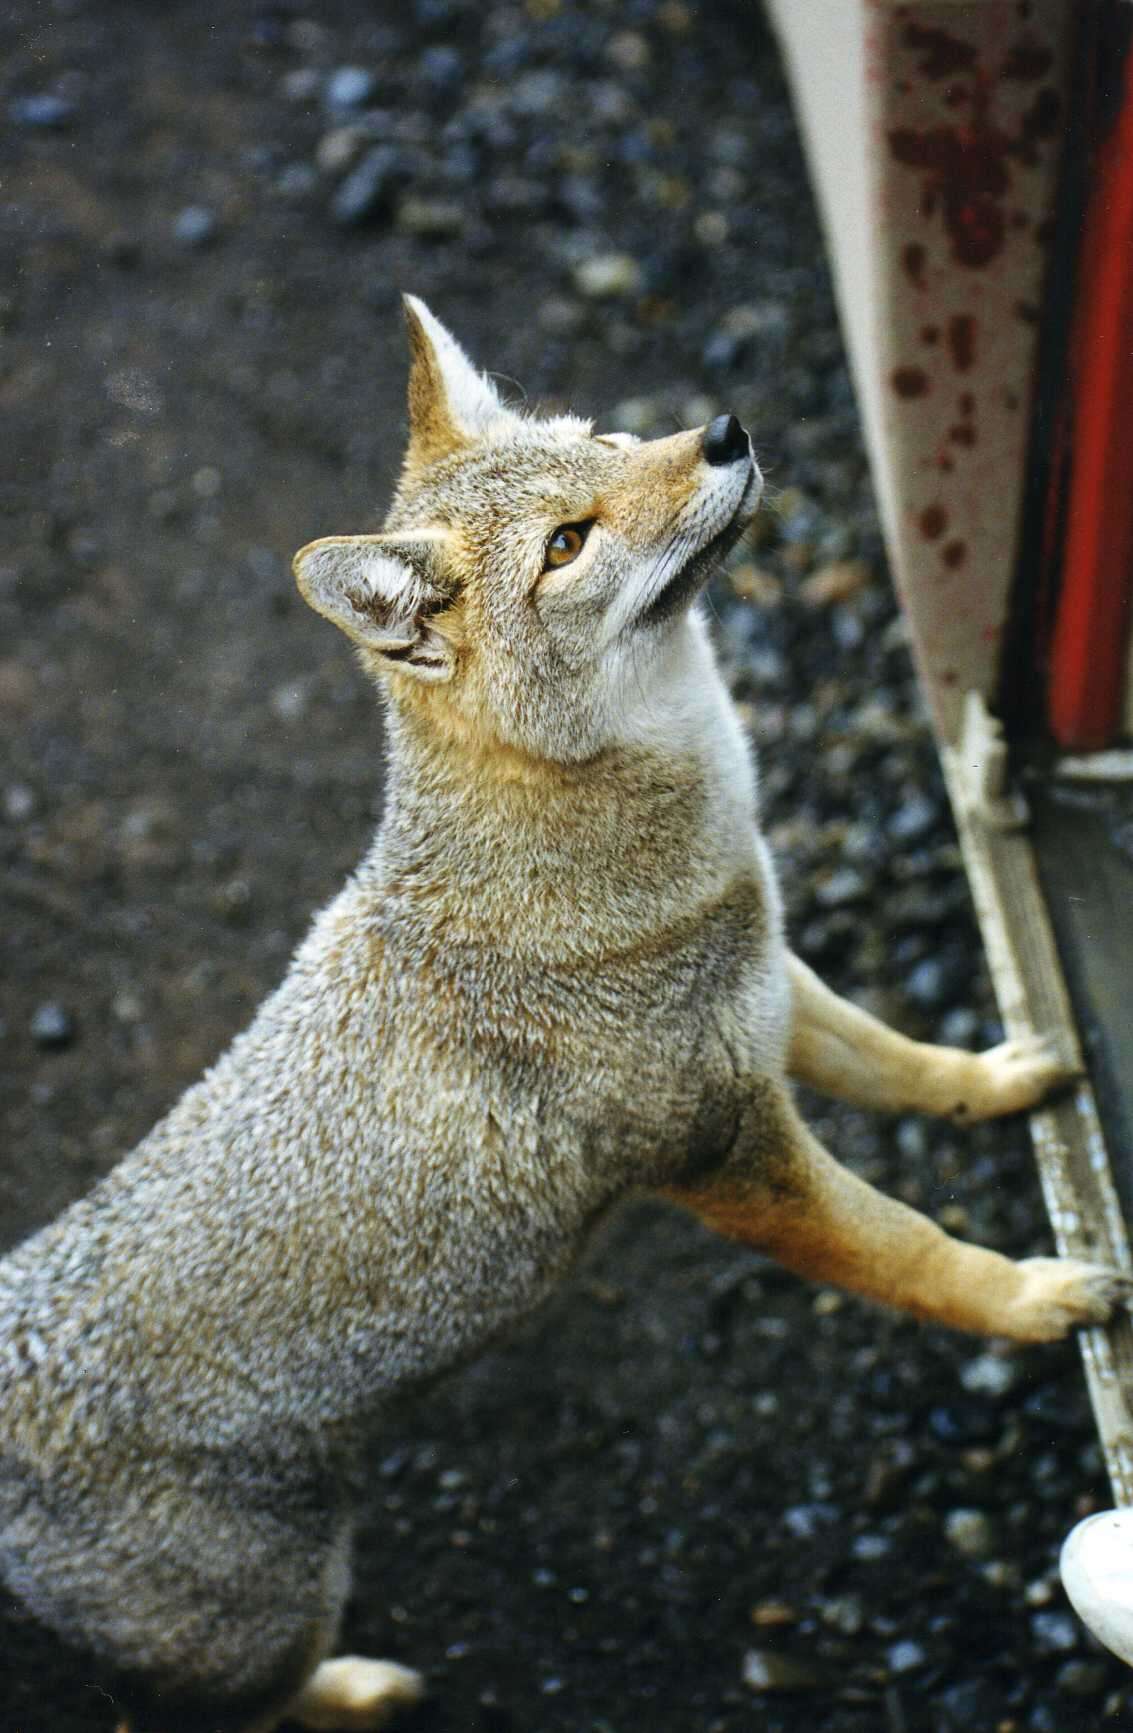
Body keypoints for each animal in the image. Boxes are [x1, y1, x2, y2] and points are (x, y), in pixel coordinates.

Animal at [0, 301, 1129, 1733]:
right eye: (566, 544)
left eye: (603, 437)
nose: (722, 428)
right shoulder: (728, 1161)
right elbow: (907, 1246)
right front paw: (1037, 1296)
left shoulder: (767, 996)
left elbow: (902, 1061)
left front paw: (1005, 1071)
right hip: (269, 1620)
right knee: (255, 1703)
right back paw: (363, 1686)